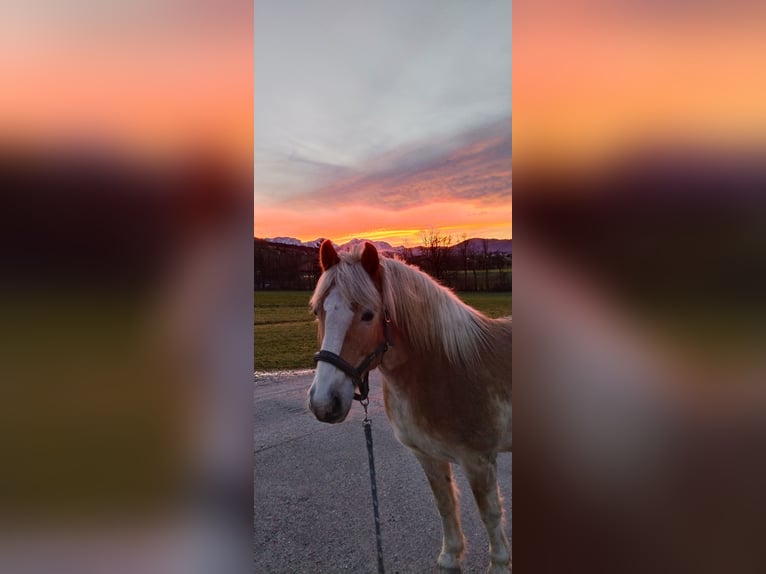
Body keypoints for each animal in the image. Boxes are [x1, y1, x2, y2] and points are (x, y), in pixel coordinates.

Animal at [308, 241, 512, 572]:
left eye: (368, 315)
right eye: (317, 312)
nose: (324, 403)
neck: (445, 368)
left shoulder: (479, 461)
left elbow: (490, 514)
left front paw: (500, 564)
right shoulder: (427, 457)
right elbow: (445, 505)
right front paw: (450, 556)